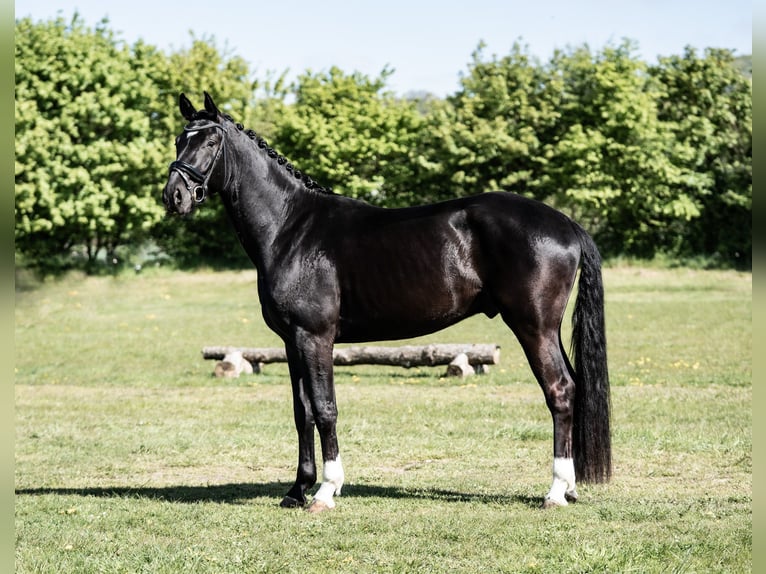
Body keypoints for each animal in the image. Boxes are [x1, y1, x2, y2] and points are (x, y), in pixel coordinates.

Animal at [162, 92, 611, 512]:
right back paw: (570, 488)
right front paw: (296, 490)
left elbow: (325, 408)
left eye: (210, 141)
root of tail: (566, 224)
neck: (291, 227)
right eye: (179, 140)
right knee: (574, 387)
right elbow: (301, 411)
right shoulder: (291, 341)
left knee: (560, 390)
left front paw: (326, 491)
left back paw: (555, 492)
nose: (175, 196)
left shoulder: (314, 337)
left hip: (534, 327)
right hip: (548, 330)